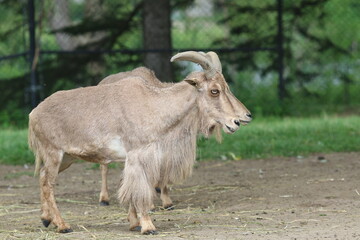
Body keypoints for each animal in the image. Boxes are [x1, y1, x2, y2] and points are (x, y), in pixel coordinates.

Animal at [28, 51, 252, 234]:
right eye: (214, 91)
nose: (241, 119)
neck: (155, 105)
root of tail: (34, 113)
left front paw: (134, 224)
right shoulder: (139, 155)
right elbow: (140, 190)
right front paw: (147, 226)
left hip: (67, 158)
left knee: (42, 177)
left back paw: (46, 219)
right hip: (53, 153)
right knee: (48, 183)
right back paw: (63, 225)